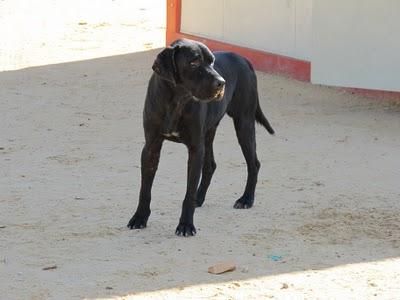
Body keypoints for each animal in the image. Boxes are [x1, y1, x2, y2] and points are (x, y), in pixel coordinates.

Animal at [128, 39, 276, 237]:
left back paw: (246, 199)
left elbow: (188, 192)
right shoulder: (151, 146)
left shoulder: (195, 148)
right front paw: (139, 217)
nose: (222, 83)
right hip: (209, 134)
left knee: (254, 164)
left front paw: (186, 225)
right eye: (194, 62)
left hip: (243, 124)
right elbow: (145, 189)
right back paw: (200, 198)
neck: (177, 100)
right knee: (211, 165)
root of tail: (244, 59)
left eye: (212, 62)